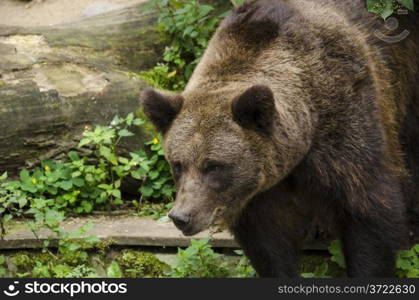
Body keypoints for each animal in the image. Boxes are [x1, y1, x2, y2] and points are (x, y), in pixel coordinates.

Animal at [142, 0, 419, 278]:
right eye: (177, 164)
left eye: (214, 166)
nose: (181, 216)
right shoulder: (259, 190)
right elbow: (268, 243)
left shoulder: (347, 122)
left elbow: (368, 209)